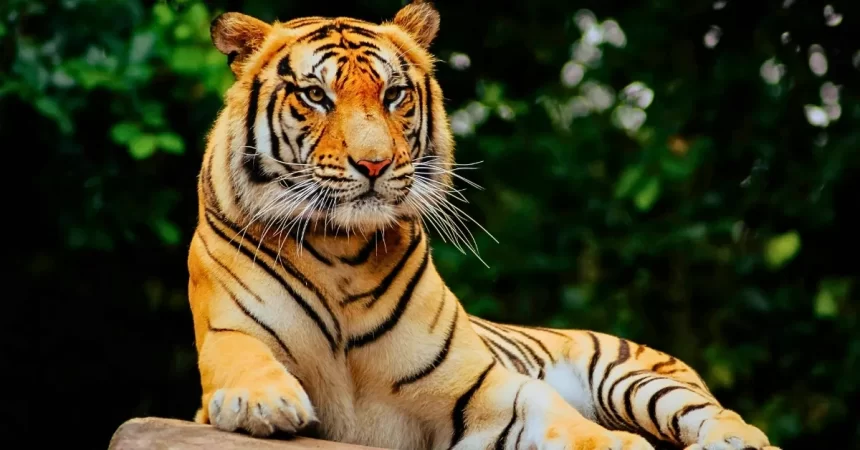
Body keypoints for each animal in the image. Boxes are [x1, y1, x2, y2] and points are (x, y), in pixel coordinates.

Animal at [186, 2, 781, 449]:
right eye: (316, 95)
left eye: (393, 94)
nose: (375, 164)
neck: (342, 253)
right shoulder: (228, 332)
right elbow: (243, 358)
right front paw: (262, 401)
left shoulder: (478, 385)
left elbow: (551, 412)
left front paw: (618, 444)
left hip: (632, 378)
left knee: (723, 417)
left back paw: (734, 440)